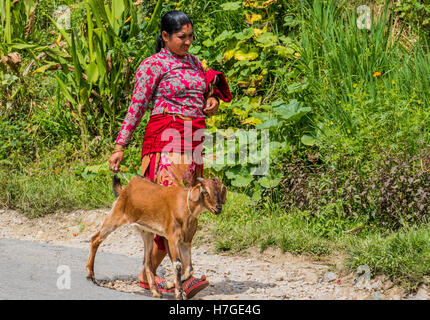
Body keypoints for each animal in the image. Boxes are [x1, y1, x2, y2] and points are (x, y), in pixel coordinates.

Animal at [84, 175, 225, 300]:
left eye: (220, 190)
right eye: (205, 191)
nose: (218, 208)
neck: (186, 207)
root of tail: (126, 188)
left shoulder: (186, 242)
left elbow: (189, 269)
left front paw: (172, 286)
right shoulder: (172, 238)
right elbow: (178, 265)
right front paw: (179, 293)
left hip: (147, 232)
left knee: (147, 261)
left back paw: (156, 291)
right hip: (116, 216)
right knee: (95, 239)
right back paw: (90, 275)